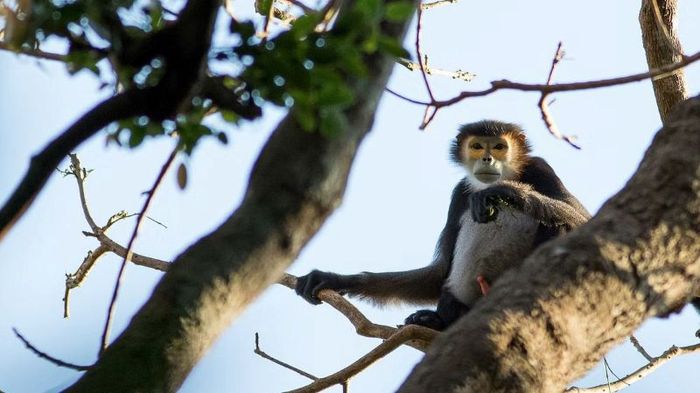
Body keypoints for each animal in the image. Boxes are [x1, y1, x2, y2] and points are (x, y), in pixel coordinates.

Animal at [292, 120, 588, 330]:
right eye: (477, 146)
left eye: (499, 147)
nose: (488, 159)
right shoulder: (459, 193)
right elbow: (440, 271)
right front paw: (336, 279)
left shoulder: (540, 167)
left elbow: (583, 220)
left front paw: (506, 192)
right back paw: (437, 322)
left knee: (559, 226)